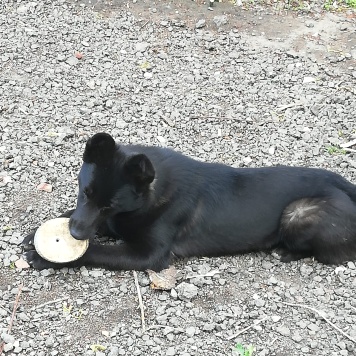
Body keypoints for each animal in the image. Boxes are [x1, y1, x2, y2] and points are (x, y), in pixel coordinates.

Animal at [22, 133, 356, 270]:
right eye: (85, 192)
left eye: (110, 204)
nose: (74, 234)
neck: (149, 196)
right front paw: (38, 233)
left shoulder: (148, 255)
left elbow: (98, 250)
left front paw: (47, 257)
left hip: (297, 214)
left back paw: (286, 252)